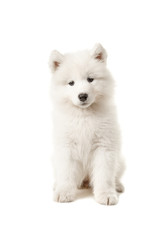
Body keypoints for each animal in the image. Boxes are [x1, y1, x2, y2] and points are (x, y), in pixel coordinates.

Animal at [48, 43, 125, 204]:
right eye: (71, 83)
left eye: (90, 79)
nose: (82, 95)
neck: (84, 116)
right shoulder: (66, 147)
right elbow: (66, 173)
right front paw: (64, 192)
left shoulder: (104, 146)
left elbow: (105, 175)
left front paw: (106, 194)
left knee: (114, 175)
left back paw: (117, 185)